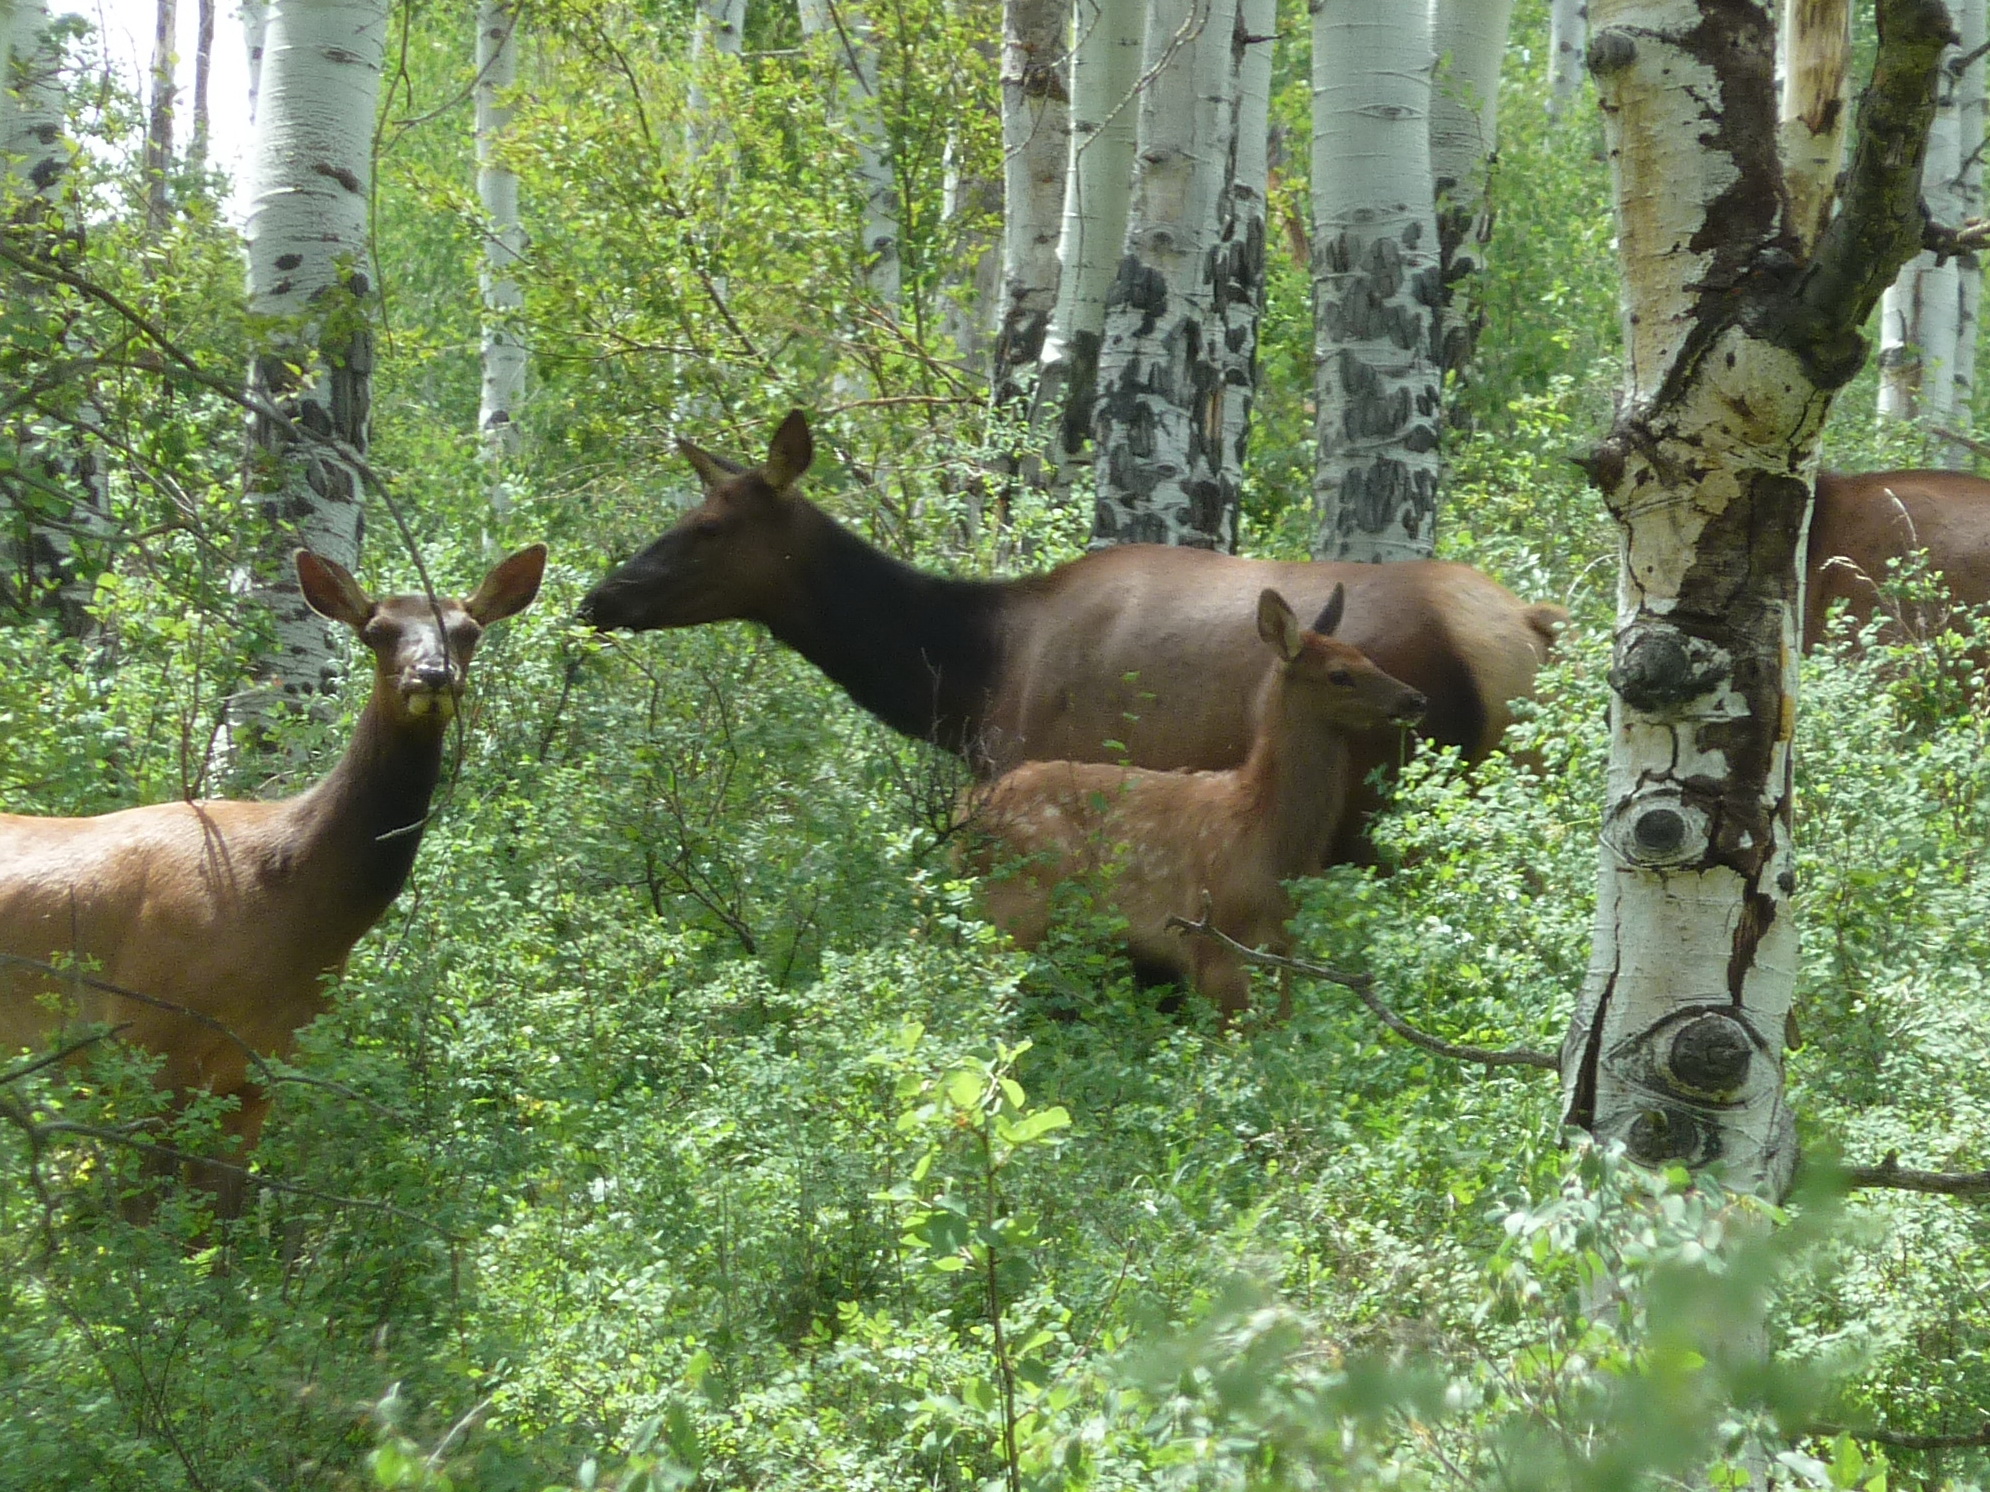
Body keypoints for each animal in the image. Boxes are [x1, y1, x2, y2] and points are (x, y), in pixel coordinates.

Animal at [0, 549, 545, 1217]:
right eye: (377, 630)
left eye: (469, 631)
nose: (433, 674)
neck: (290, 907)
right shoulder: (144, 1042)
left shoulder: (259, 1073)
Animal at [967, 588, 1424, 1026]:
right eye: (1339, 674)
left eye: (1368, 658)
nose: (1416, 699)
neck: (1266, 833)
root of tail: (967, 815)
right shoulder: (1214, 939)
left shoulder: (1284, 946)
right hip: (1017, 905)